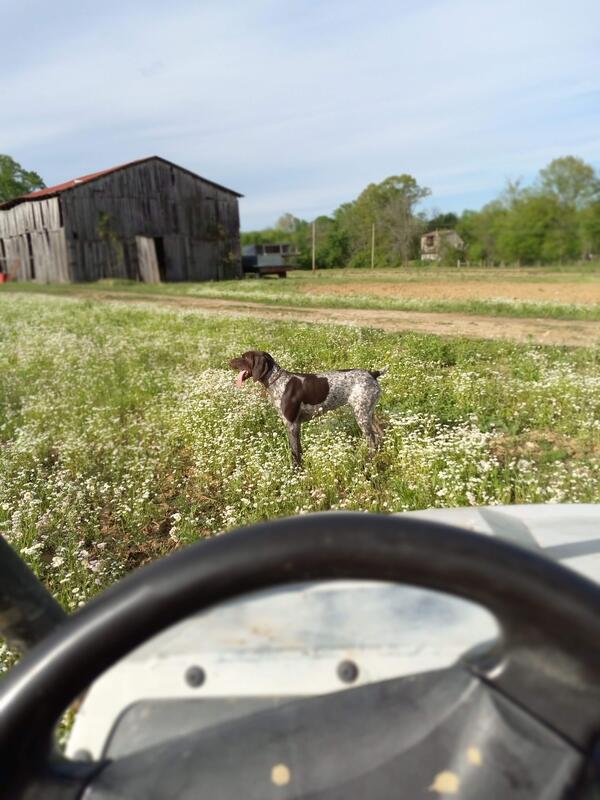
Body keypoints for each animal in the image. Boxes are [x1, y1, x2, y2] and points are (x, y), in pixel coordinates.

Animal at [229, 350, 386, 467]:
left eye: (244, 357)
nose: (228, 362)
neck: (278, 381)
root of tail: (372, 373)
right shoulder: (296, 425)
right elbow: (299, 449)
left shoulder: (291, 424)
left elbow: (294, 452)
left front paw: (296, 471)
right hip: (369, 413)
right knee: (380, 434)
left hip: (361, 416)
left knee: (372, 442)